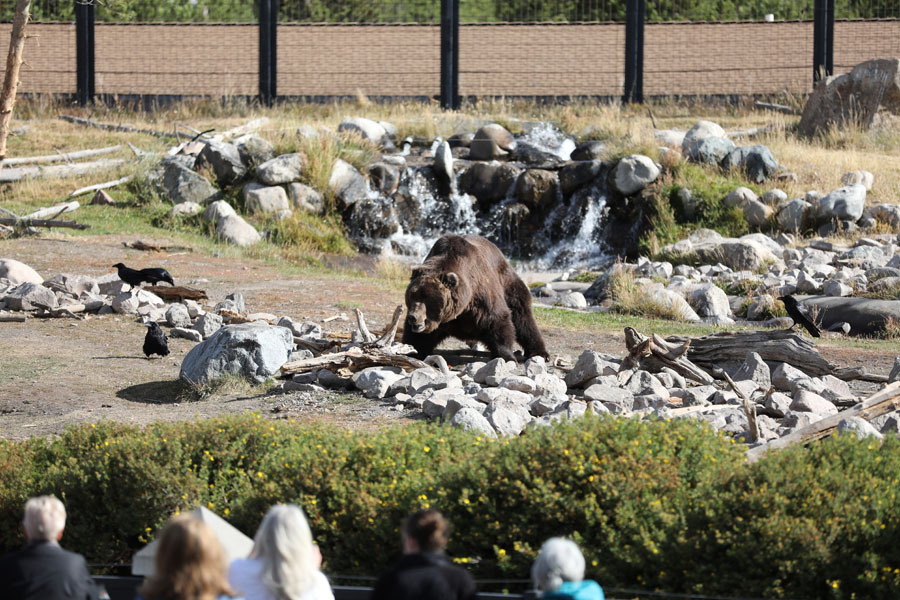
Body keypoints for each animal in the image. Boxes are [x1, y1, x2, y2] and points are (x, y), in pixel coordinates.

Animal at [402, 234, 549, 363]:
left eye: (428, 299)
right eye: (412, 295)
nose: (413, 317)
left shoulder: (481, 300)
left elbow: (497, 321)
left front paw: (507, 356)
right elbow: (418, 339)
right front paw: (412, 352)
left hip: (508, 282)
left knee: (522, 316)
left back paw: (540, 353)